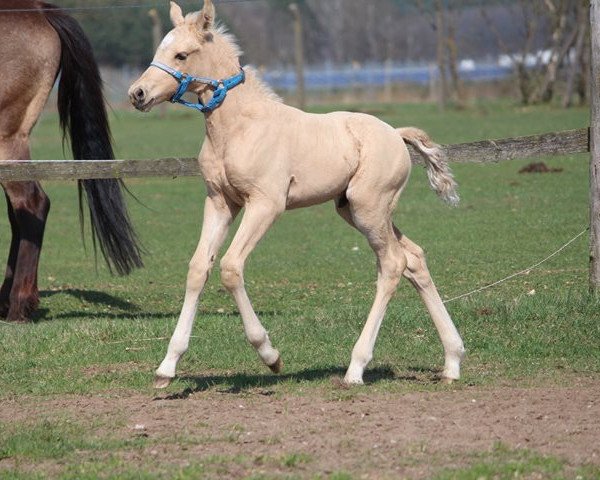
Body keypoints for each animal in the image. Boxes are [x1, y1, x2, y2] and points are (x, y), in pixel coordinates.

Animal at [129, 0, 466, 388]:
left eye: (181, 55)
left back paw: (356, 369)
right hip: (355, 210)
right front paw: (167, 366)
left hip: (369, 208)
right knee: (414, 258)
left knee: (393, 265)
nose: (137, 94)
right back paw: (452, 361)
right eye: (159, 49)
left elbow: (230, 267)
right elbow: (199, 268)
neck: (238, 128)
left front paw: (270, 355)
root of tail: (396, 134)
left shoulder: (266, 204)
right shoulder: (220, 203)